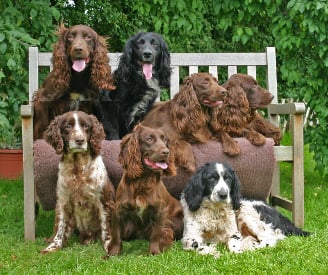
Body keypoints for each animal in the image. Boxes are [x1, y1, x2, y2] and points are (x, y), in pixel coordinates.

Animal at [115, 124, 183, 256]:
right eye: (149, 139)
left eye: (165, 140)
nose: (166, 152)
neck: (142, 181)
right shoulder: (119, 211)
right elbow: (116, 236)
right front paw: (112, 254)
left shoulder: (160, 211)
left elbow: (156, 235)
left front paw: (154, 252)